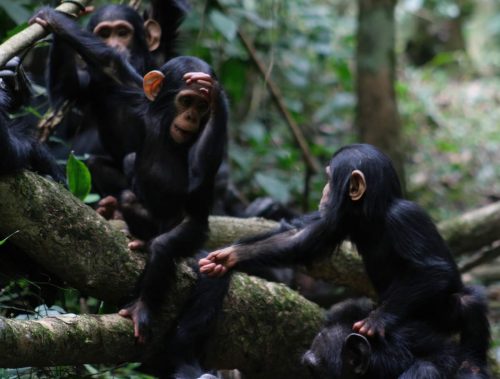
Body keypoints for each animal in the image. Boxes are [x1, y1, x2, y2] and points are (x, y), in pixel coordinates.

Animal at [200, 144, 492, 378]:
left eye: (330, 178)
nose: (324, 191)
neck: (373, 214)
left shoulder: (405, 218)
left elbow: (432, 269)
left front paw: (377, 320)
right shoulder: (339, 219)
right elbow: (299, 240)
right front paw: (230, 256)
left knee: (468, 302)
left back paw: (472, 364)